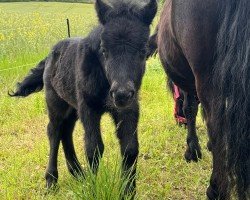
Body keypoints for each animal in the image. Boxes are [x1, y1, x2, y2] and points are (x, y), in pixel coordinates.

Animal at [11, 0, 158, 197]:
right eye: (104, 50)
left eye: (143, 50)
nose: (121, 94)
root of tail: (50, 54)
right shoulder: (88, 108)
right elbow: (93, 148)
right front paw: (93, 189)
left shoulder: (129, 108)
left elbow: (130, 148)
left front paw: (127, 192)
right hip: (55, 102)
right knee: (54, 131)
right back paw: (51, 179)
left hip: (72, 107)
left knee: (66, 131)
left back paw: (78, 173)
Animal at [157, 0, 249, 199]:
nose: (179, 122)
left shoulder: (189, 86)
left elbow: (190, 109)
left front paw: (192, 151)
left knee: (216, 125)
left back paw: (215, 189)